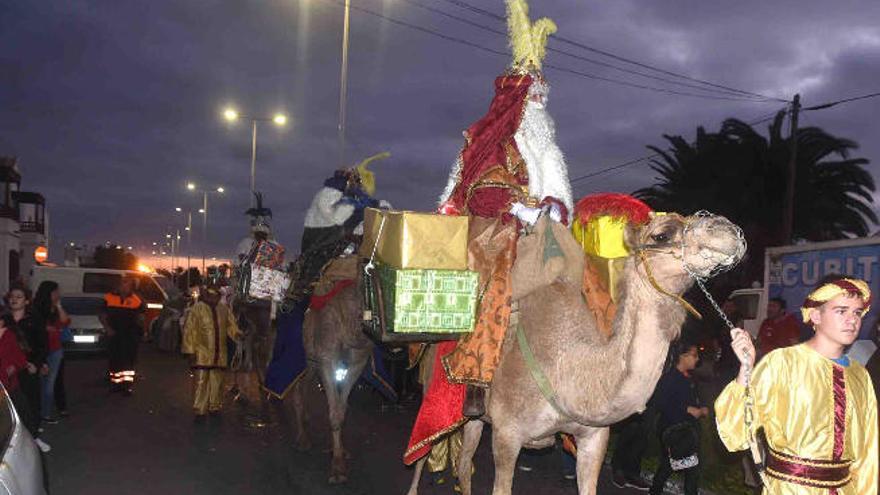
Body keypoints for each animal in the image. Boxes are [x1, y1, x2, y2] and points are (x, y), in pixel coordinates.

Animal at [406, 212, 744, 495]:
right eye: (662, 234)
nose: (726, 230)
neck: (569, 370)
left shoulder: (594, 438)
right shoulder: (507, 434)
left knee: (464, 464)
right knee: (433, 451)